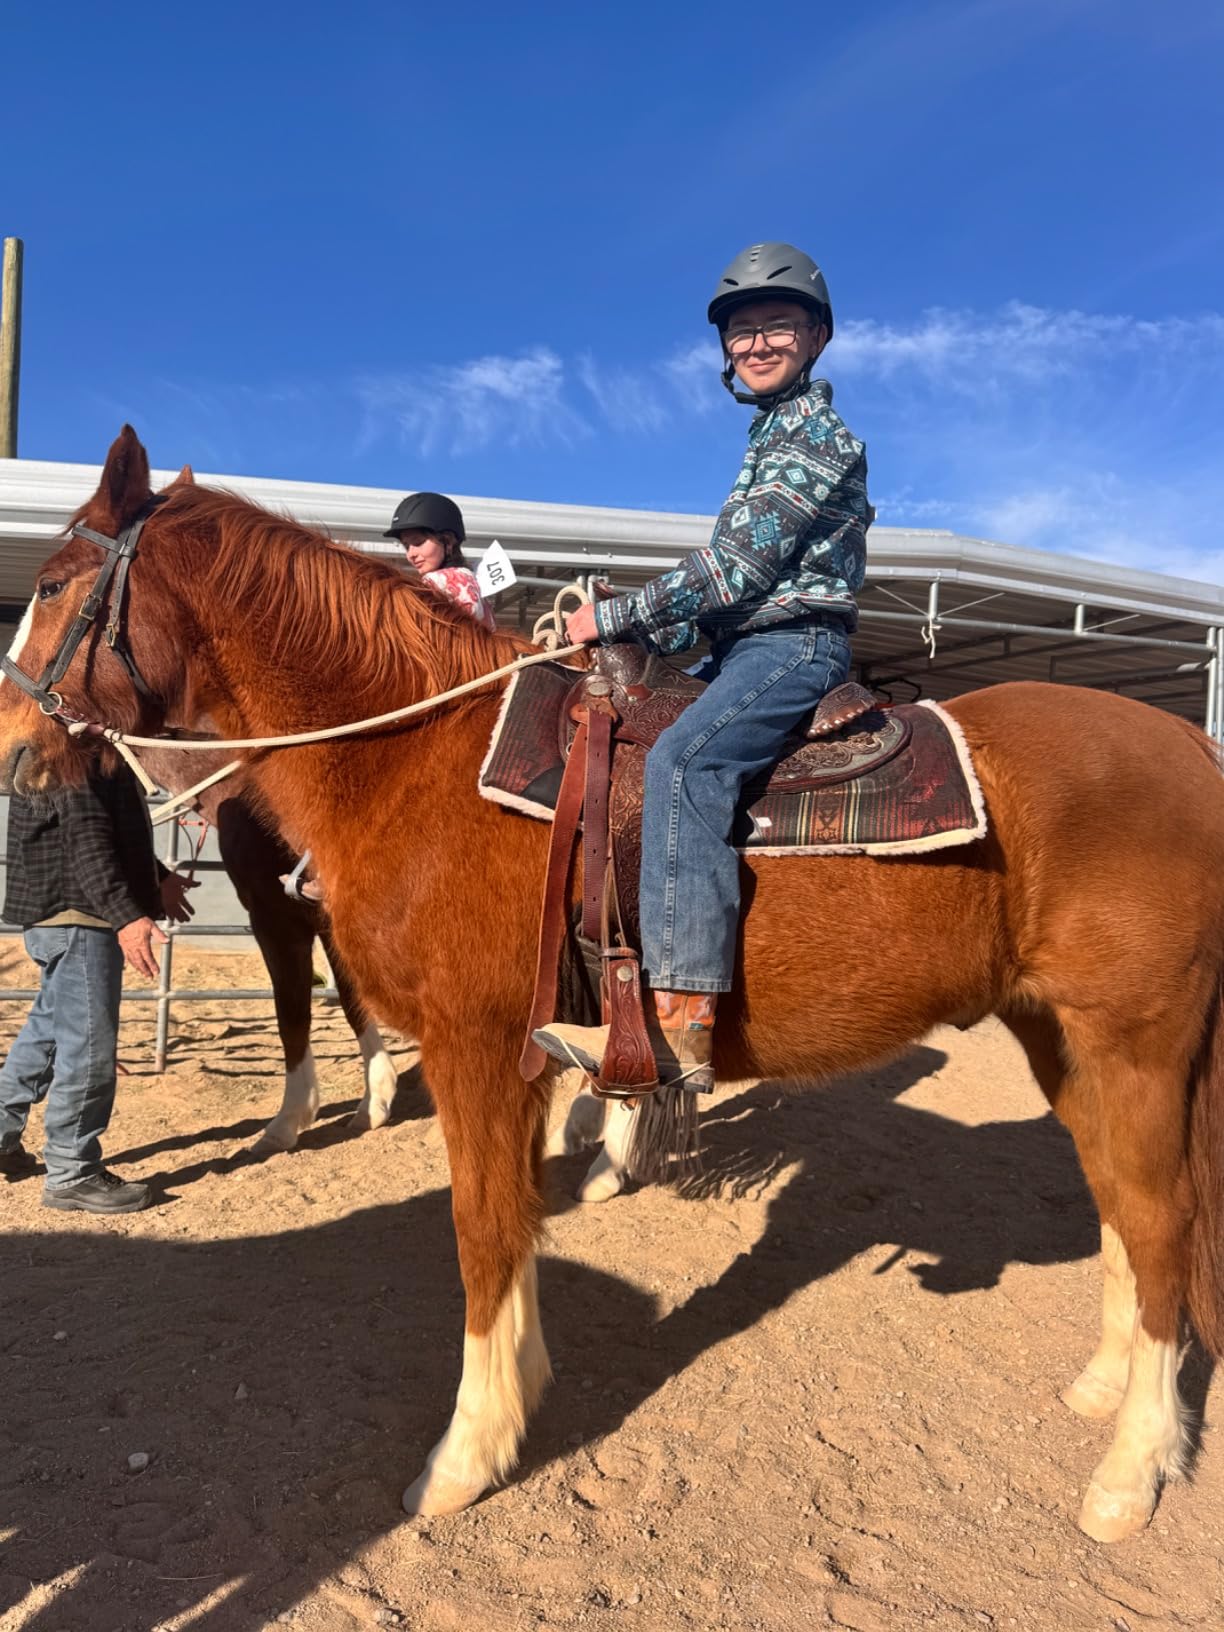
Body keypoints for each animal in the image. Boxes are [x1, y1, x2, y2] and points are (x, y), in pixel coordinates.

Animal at [3, 425, 1224, 1546]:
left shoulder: (477, 1045)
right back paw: (1105, 1390)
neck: (423, 757)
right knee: (1120, 1206)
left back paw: (1130, 1474)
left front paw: (467, 1456)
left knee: (1162, 1222)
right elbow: (514, 1224)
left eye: (53, 585)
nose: (15, 751)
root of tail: (1194, 750)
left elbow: (484, 1230)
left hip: (1137, 1041)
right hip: (1060, 1037)